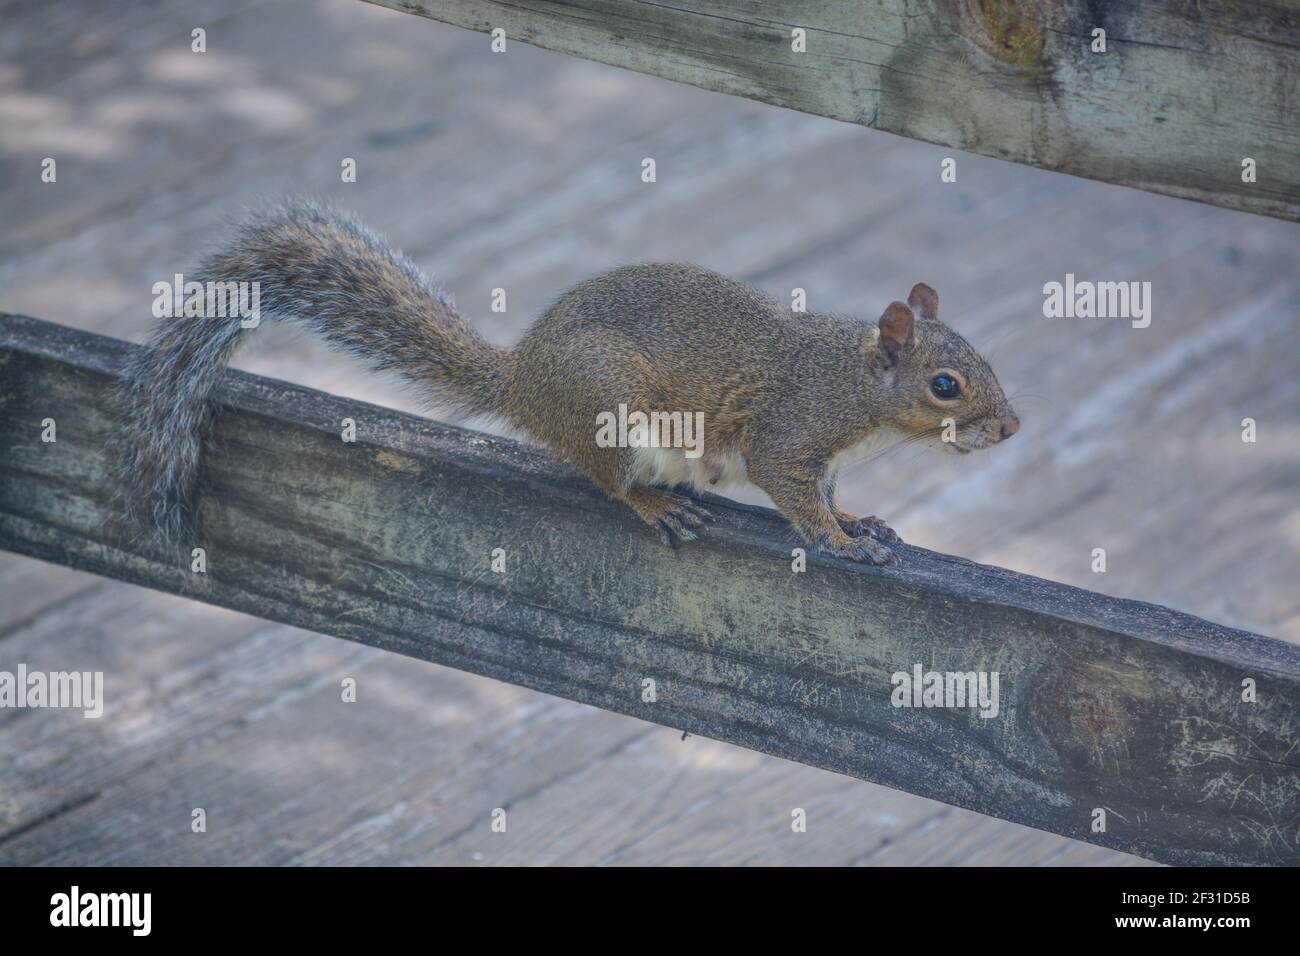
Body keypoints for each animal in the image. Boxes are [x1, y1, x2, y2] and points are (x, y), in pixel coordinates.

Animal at [117, 197, 1019, 565]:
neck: (861, 395)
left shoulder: (827, 458)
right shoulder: (791, 432)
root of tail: (521, 382)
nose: (1011, 430)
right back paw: (654, 503)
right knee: (607, 479)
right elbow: (792, 493)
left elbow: (830, 494)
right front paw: (839, 542)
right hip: (608, 403)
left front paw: (861, 521)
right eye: (946, 385)